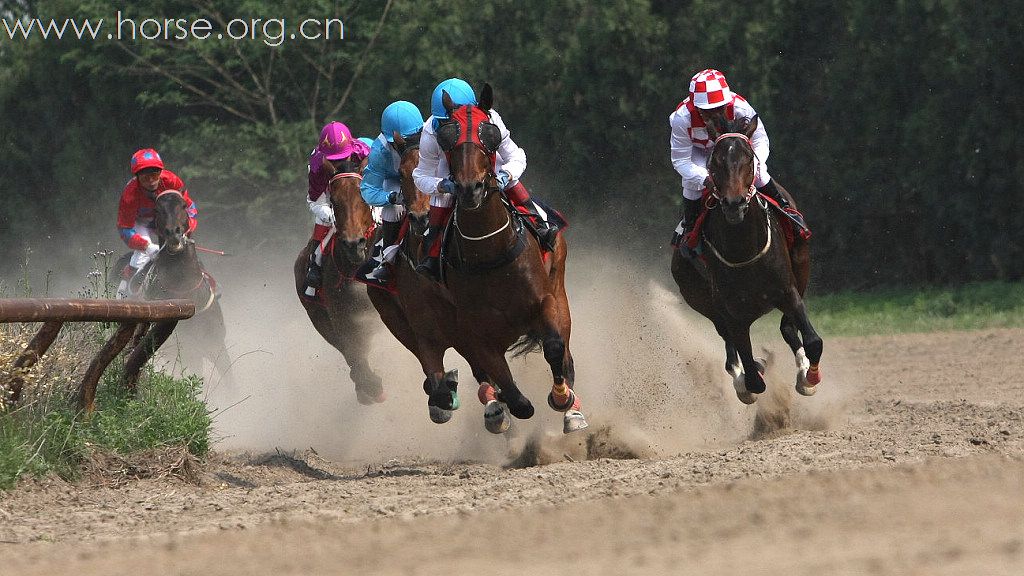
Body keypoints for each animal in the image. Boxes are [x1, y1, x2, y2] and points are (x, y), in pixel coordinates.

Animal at [120, 190, 229, 387]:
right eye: (157, 209)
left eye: (184, 205)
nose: (173, 234)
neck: (186, 292)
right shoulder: (188, 352)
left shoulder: (216, 345)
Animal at [294, 154, 385, 401]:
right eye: (333, 201)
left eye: (363, 194)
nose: (354, 244)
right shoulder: (341, 318)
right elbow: (356, 358)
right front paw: (371, 388)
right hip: (318, 316)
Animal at [423, 87, 585, 432]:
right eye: (447, 138)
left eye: (491, 135)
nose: (470, 188)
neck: (490, 251)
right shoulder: (476, 332)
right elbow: (513, 395)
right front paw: (502, 406)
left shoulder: (544, 301)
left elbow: (554, 346)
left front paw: (561, 397)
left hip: (560, 287)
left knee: (565, 354)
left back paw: (572, 408)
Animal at [671, 114, 823, 401]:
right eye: (715, 162)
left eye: (749, 158)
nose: (735, 203)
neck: (744, 250)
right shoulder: (733, 314)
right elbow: (752, 377)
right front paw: (748, 378)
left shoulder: (788, 291)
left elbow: (813, 341)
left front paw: (809, 378)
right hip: (702, 301)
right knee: (730, 347)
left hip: (801, 269)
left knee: (787, 328)